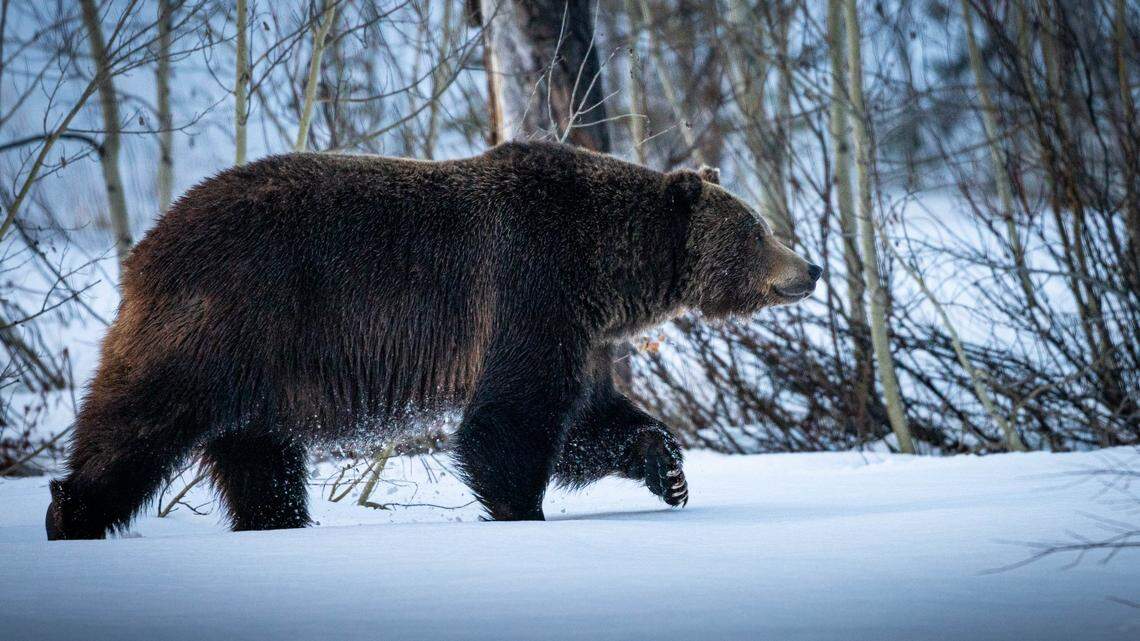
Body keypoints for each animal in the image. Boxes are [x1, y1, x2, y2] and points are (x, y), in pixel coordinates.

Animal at [45, 141, 821, 539]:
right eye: (756, 228)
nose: (808, 267)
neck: (609, 269)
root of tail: (145, 246)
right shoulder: (532, 284)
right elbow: (508, 416)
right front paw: (522, 510)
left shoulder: (584, 328)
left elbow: (590, 417)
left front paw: (670, 470)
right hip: (227, 316)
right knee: (140, 420)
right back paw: (68, 511)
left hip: (261, 365)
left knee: (258, 456)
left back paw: (280, 523)